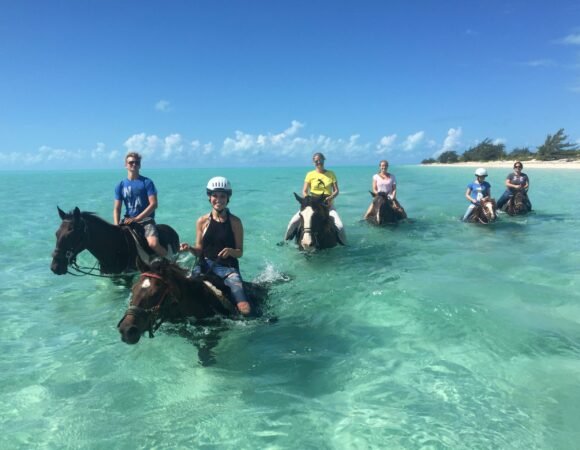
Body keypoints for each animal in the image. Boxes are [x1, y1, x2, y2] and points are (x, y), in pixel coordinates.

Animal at [51, 208, 179, 278]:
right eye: (56, 234)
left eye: (71, 235)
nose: (55, 267)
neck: (115, 247)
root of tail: (171, 230)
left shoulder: (127, 276)